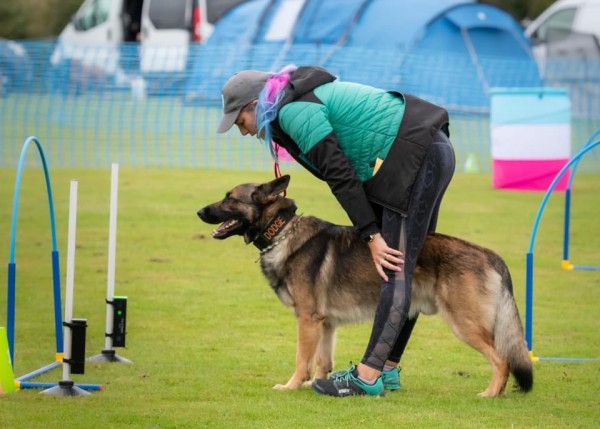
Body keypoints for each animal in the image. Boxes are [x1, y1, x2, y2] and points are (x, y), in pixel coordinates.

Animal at [198, 176, 536, 396]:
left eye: (230, 198)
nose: (199, 211)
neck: (282, 232)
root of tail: (489, 254)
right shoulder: (325, 324)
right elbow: (322, 361)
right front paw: (315, 385)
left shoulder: (307, 320)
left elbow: (301, 359)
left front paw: (292, 385)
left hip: (464, 324)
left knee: (502, 359)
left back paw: (491, 393)